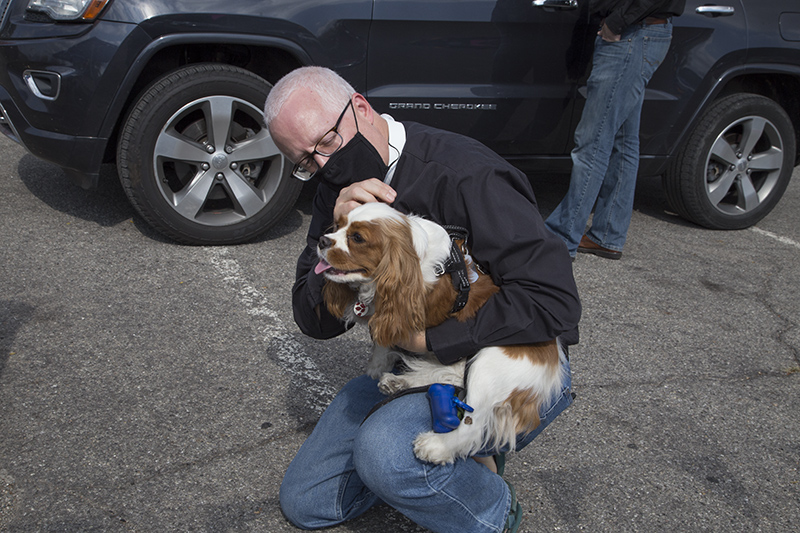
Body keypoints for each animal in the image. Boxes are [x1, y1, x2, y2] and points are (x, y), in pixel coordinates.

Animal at [316, 202, 564, 464]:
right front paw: (378, 364)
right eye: (338, 225)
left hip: (491, 360)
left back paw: (436, 446)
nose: (322, 240)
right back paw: (398, 382)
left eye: (357, 238)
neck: (412, 261)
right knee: (450, 377)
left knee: (473, 422)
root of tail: (554, 363)